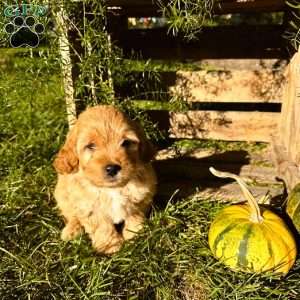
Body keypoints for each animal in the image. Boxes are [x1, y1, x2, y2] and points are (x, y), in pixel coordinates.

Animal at [53, 105, 157, 253]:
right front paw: (110, 247)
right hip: (62, 195)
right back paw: (72, 231)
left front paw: (135, 235)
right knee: (72, 215)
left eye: (126, 143)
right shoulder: (89, 207)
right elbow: (102, 227)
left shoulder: (141, 197)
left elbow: (134, 216)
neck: (111, 189)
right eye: (90, 146)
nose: (112, 168)